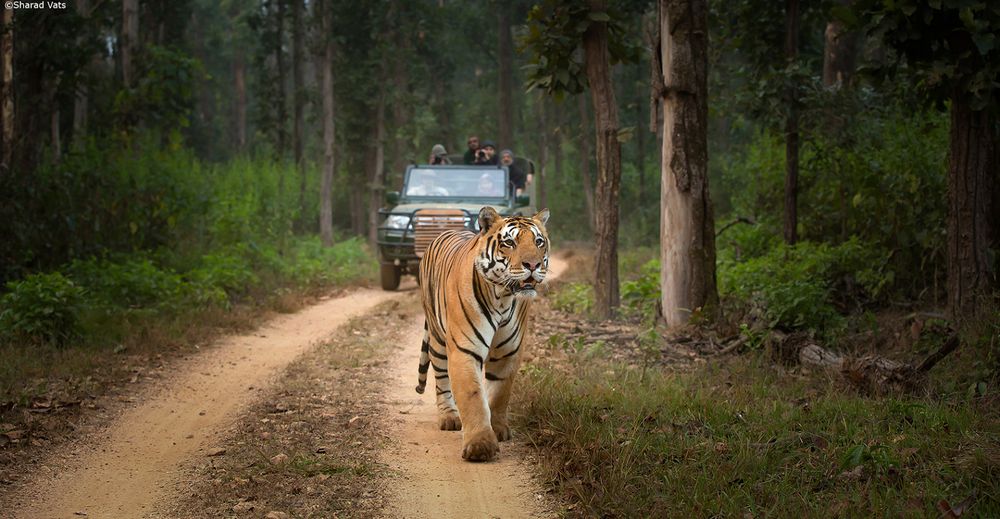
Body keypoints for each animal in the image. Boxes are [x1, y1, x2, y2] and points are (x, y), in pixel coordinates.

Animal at [414, 206, 550, 461]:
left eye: (539, 242)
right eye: (509, 243)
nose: (533, 265)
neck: (503, 297)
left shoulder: (509, 352)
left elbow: (499, 393)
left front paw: (498, 430)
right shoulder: (464, 350)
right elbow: (472, 395)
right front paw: (480, 445)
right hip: (437, 338)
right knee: (441, 379)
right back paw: (449, 417)